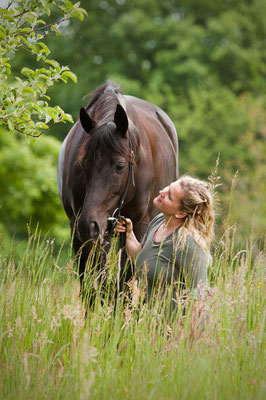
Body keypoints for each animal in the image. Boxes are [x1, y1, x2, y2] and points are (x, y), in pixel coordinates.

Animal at [57, 80, 179, 300]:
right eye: (83, 165)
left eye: (120, 166)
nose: (89, 224)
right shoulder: (80, 233)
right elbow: (91, 286)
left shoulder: (138, 226)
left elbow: (126, 282)